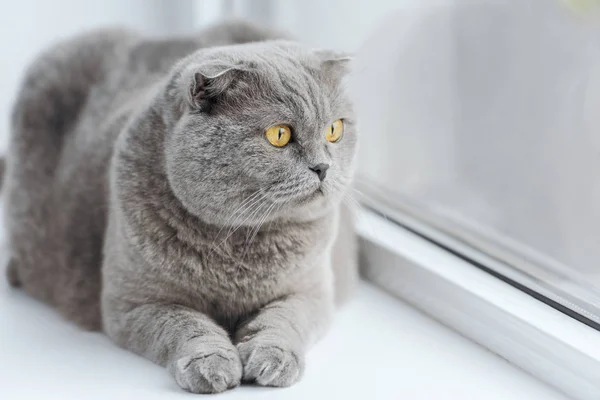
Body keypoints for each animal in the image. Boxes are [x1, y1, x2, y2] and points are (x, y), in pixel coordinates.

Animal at [3, 19, 356, 394]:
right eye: (279, 135)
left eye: (334, 130)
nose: (323, 167)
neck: (240, 244)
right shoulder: (133, 305)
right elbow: (185, 324)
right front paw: (211, 365)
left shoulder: (311, 291)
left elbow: (284, 319)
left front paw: (273, 359)